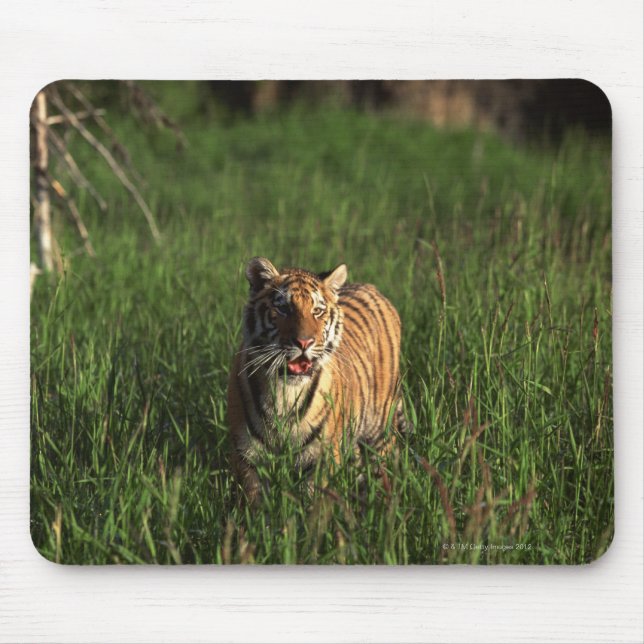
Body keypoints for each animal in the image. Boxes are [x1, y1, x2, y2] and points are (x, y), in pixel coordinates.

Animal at [227, 256, 406, 503]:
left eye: (318, 311)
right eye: (283, 308)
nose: (304, 342)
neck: (284, 391)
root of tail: (372, 288)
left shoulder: (321, 458)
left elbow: (314, 503)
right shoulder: (247, 456)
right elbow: (255, 503)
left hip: (380, 431)